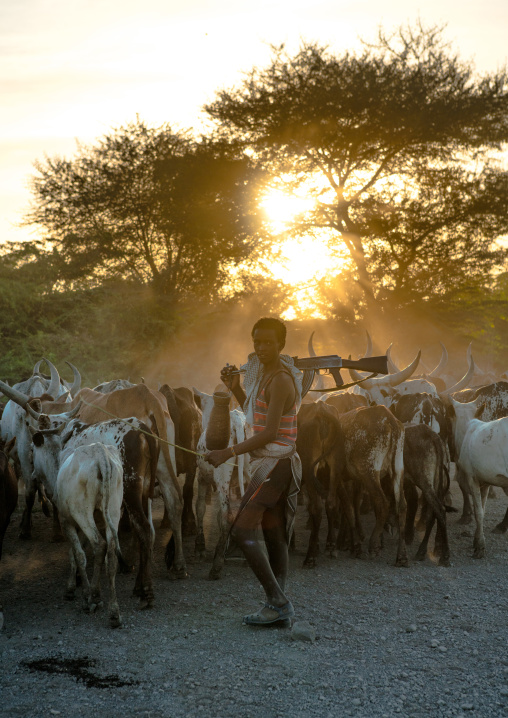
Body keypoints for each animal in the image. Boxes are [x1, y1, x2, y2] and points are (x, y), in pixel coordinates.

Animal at [31, 435, 125, 627]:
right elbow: (77, 552)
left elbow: (78, 554)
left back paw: (92, 595)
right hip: (112, 510)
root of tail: (99, 453)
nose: (32, 475)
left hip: (82, 511)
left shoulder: (67, 522)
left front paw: (80, 592)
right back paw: (114, 612)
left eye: (32, 451)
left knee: (99, 545)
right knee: (110, 554)